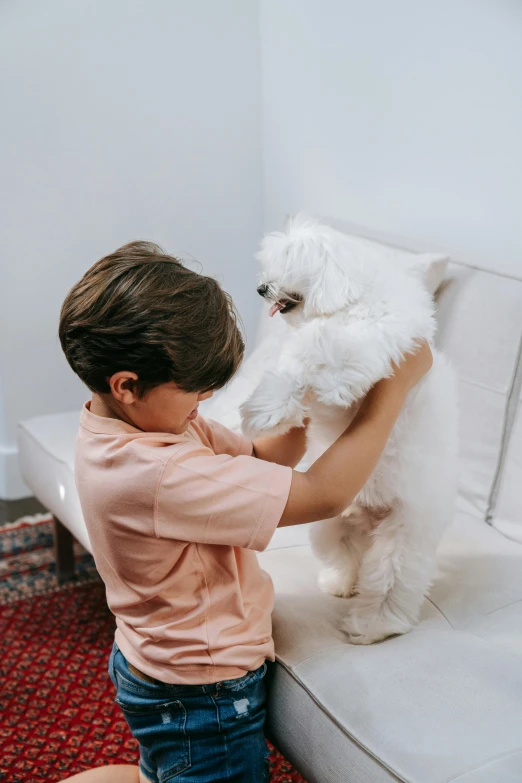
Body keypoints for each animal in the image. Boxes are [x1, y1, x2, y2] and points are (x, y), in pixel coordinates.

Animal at [238, 214, 458, 644]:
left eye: (289, 263)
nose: (260, 288)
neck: (351, 301)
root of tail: (370, 518)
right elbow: (294, 369)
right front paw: (269, 411)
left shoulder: (376, 339)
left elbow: (332, 353)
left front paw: (330, 385)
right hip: (331, 525)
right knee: (349, 559)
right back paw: (341, 585)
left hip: (403, 536)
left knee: (389, 583)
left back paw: (372, 626)